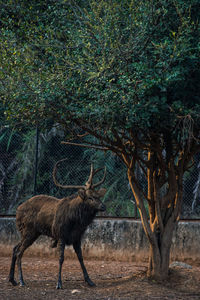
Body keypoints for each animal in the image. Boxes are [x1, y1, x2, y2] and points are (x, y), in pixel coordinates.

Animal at [8, 161, 106, 290]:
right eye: (90, 197)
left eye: (98, 196)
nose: (103, 206)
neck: (76, 221)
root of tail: (17, 211)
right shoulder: (61, 235)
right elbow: (61, 258)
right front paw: (59, 283)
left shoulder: (77, 237)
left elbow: (81, 257)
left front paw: (90, 281)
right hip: (29, 231)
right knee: (19, 251)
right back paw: (21, 281)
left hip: (30, 233)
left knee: (15, 248)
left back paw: (12, 280)